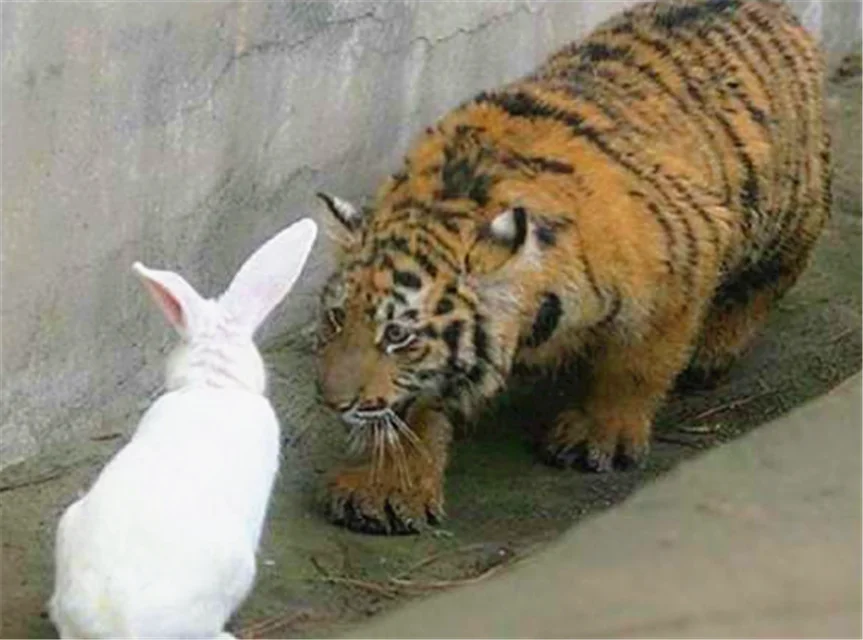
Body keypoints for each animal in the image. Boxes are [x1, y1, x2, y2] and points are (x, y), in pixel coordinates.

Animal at [314, 0, 831, 534]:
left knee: (778, 269)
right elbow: (411, 403)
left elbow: (638, 362)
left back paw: (714, 348)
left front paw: (599, 435)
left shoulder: (687, 253)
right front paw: (385, 489)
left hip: (785, 207)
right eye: (336, 317)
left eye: (398, 335)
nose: (331, 401)